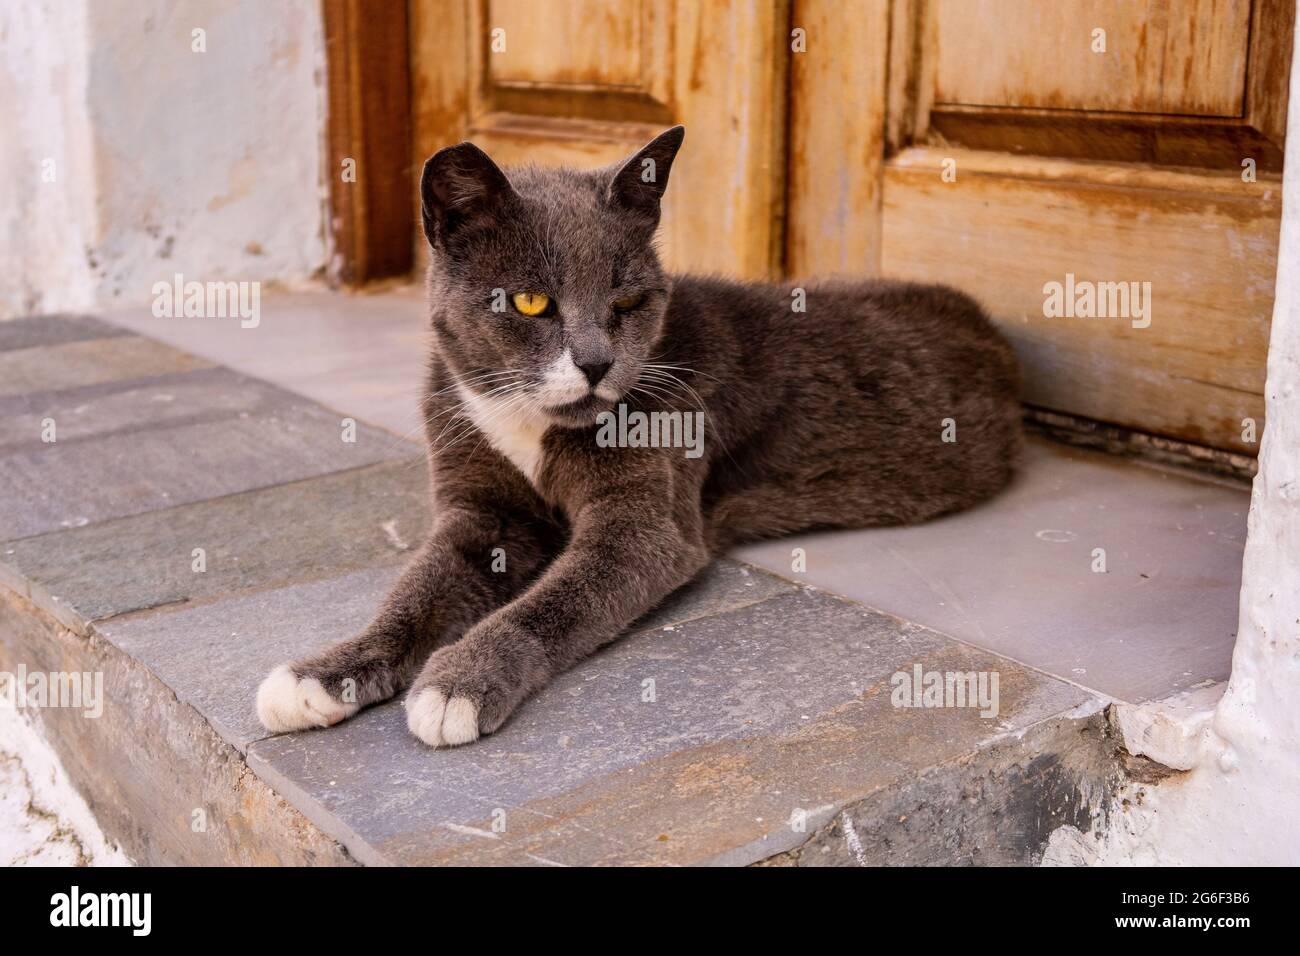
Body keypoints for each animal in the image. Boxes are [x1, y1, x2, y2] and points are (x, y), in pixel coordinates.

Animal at [256, 127, 1024, 749]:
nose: (597, 363)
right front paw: (322, 674)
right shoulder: (480, 507)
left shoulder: (643, 528)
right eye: (530, 301)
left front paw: (460, 683)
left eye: (626, 301)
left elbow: (553, 603)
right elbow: (412, 594)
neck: (528, 421)